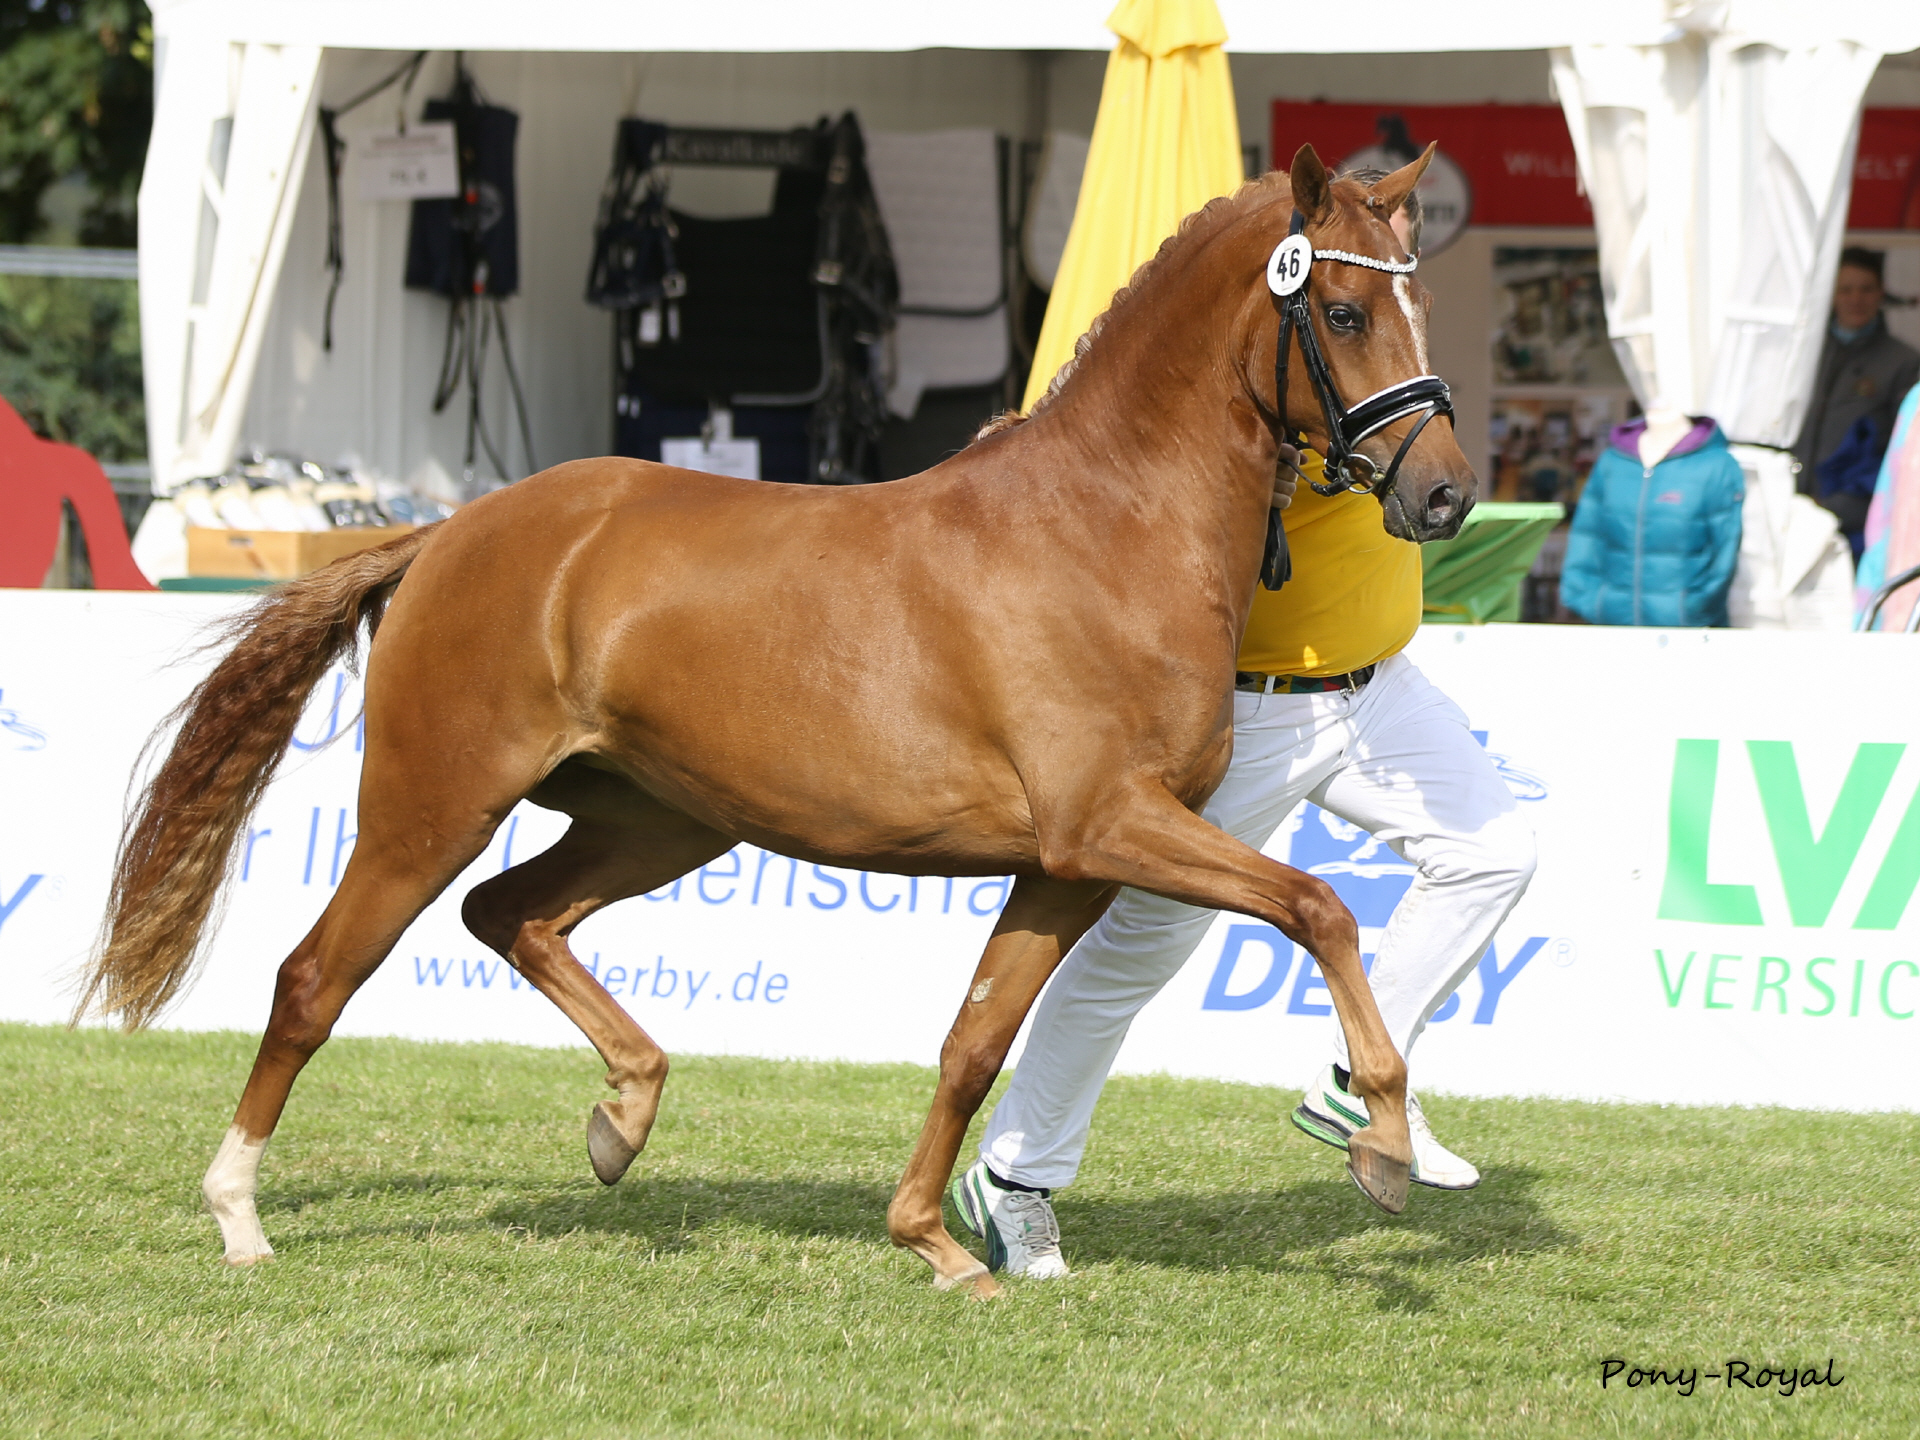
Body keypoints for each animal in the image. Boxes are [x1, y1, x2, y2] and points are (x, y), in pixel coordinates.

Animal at [80, 143, 1475, 1297]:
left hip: (657, 823)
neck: (1105, 530)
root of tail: (450, 532)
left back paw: (623, 1117)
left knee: (509, 913)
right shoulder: (1106, 827)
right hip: (432, 805)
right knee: (317, 978)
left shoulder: (1065, 865)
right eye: (1343, 311)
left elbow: (975, 1045)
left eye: (1421, 306)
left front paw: (932, 1244)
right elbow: (1320, 907)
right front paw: (1382, 1138)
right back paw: (240, 1215)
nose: (1447, 495)